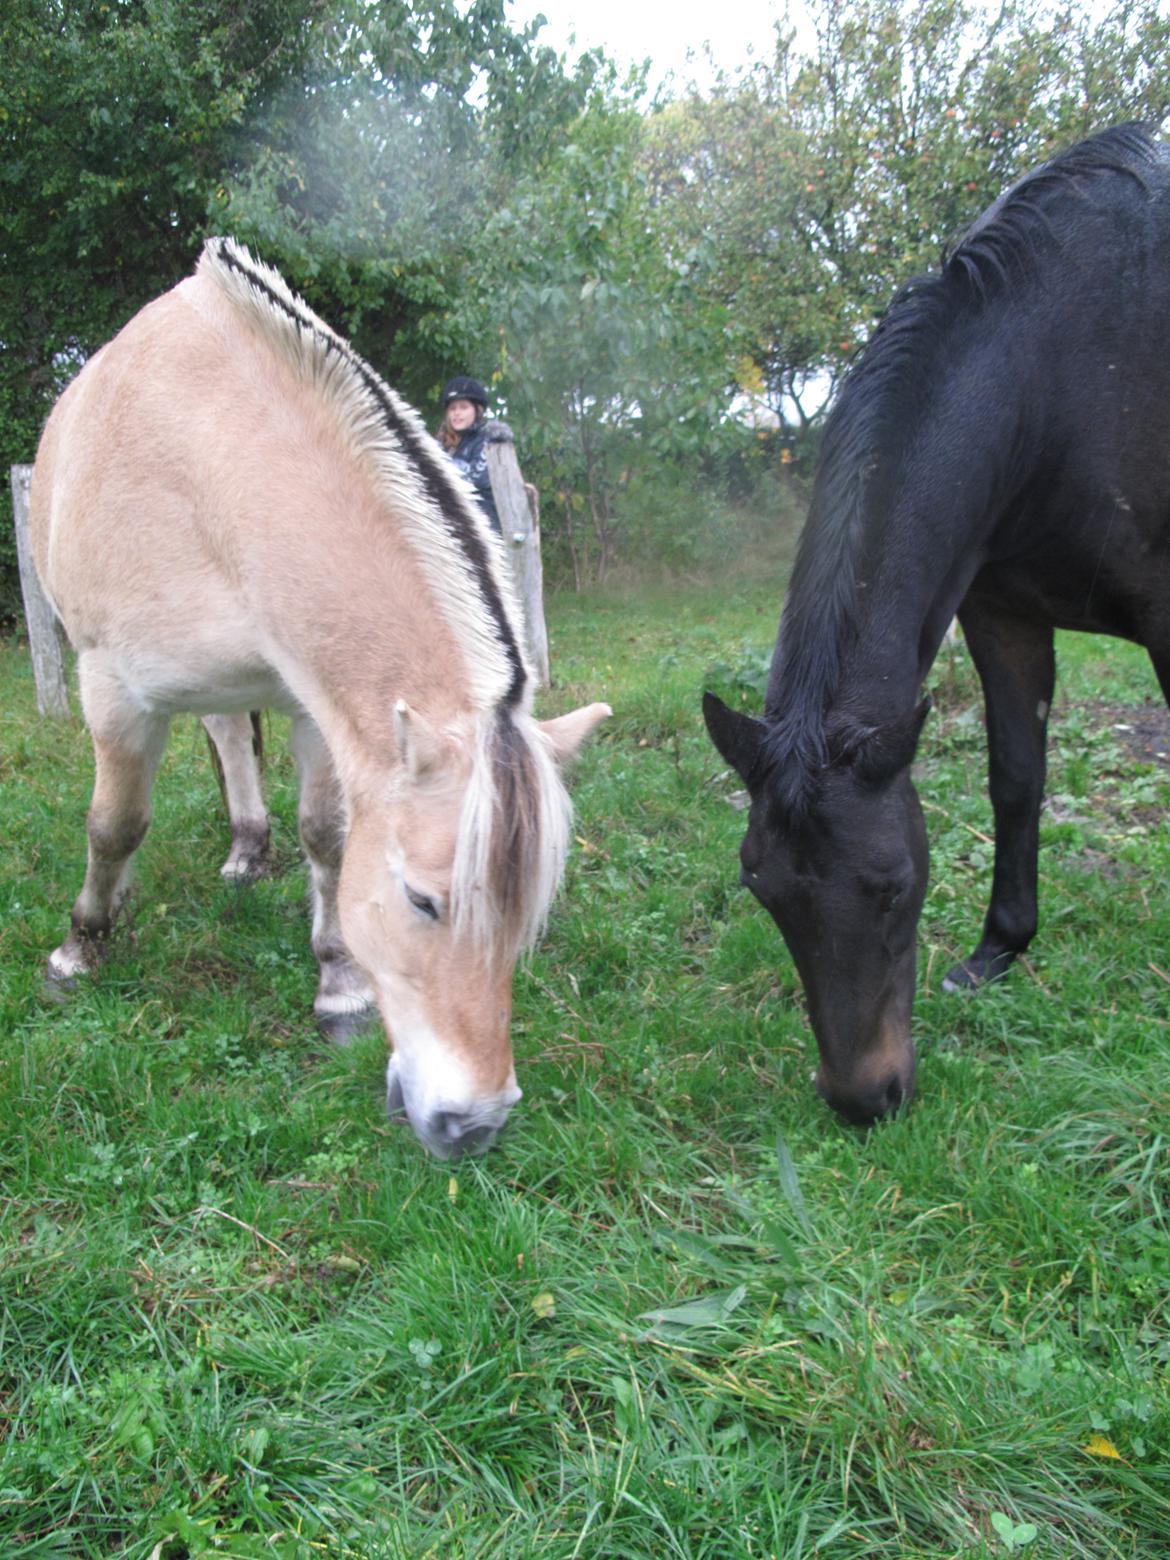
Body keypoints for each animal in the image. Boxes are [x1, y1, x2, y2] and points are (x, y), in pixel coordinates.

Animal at [31, 233, 608, 1160]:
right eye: (423, 900)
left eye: (527, 916)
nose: (474, 1125)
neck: (207, 473)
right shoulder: (114, 692)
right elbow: (114, 827)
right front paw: (79, 951)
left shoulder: (317, 704)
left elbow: (329, 836)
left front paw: (338, 984)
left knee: (232, 737)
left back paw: (248, 846)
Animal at [705, 121, 1170, 1123]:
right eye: (762, 889)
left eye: (892, 888)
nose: (864, 1100)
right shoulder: (1003, 615)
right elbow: (1015, 779)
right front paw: (999, 950)